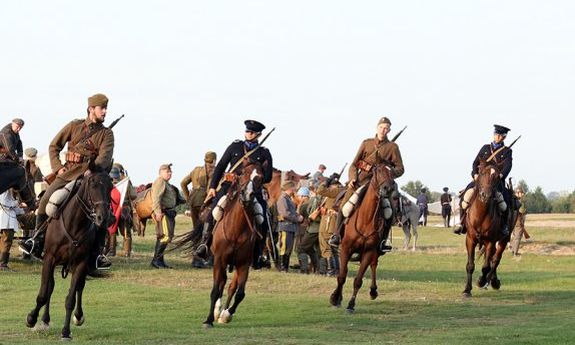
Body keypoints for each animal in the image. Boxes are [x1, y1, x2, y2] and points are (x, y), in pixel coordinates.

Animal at [26, 171, 112, 338]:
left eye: (110, 187)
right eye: (92, 184)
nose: (103, 218)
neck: (75, 224)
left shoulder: (81, 263)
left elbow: (71, 298)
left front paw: (66, 332)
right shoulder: (49, 259)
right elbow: (44, 293)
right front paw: (32, 318)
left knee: (79, 287)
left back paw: (78, 316)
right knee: (50, 288)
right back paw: (45, 320)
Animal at [204, 161, 264, 328]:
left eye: (260, 177)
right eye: (242, 173)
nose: (247, 194)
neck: (237, 229)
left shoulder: (244, 264)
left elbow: (240, 293)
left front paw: (227, 314)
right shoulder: (219, 260)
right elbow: (215, 290)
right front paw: (209, 319)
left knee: (230, 287)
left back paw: (222, 313)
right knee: (221, 283)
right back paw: (217, 311)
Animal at [330, 163, 398, 312]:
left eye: (393, 173)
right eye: (378, 171)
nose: (388, 189)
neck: (366, 219)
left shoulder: (369, 251)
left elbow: (358, 280)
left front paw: (351, 305)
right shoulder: (346, 249)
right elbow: (342, 276)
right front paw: (335, 298)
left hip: (375, 252)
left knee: (374, 265)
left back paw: (373, 291)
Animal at [462, 159, 510, 296]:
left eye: (497, 176)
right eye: (482, 173)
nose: (485, 195)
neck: (481, 214)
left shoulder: (490, 242)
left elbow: (486, 266)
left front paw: (481, 281)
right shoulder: (470, 240)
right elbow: (470, 265)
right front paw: (467, 289)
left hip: (504, 240)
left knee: (495, 260)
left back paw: (492, 281)